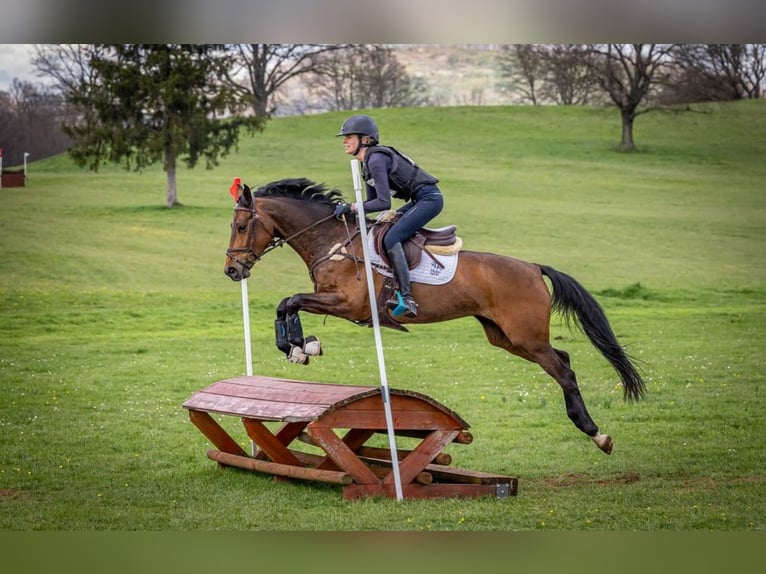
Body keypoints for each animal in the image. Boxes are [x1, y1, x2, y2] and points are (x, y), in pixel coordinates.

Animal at [224, 177, 645, 455]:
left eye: (241, 226)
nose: (232, 270)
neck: (333, 241)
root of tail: (532, 267)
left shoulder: (348, 304)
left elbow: (290, 301)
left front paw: (299, 346)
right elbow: (286, 303)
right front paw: (300, 346)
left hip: (525, 336)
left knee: (565, 372)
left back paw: (597, 434)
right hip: (506, 337)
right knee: (564, 359)